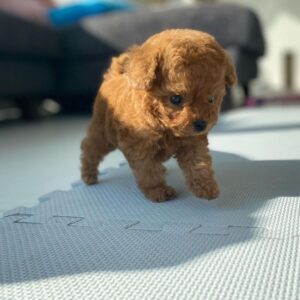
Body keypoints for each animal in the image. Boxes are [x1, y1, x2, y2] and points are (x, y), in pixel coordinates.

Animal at [80, 29, 237, 202]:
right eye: (176, 99)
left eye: (211, 99)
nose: (201, 124)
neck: (164, 124)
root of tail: (113, 77)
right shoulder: (140, 147)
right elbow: (149, 171)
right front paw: (158, 191)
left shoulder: (192, 140)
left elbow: (198, 162)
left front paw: (206, 186)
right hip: (103, 132)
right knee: (90, 147)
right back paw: (88, 175)